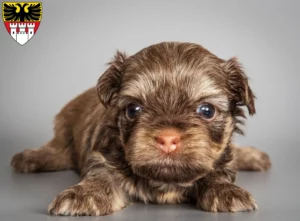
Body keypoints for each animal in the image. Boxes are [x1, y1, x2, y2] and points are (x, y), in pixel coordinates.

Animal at [11, 41, 272, 216]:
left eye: (206, 111)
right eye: (133, 109)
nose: (168, 138)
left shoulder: (219, 159)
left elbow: (218, 170)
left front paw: (225, 189)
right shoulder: (103, 159)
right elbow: (101, 176)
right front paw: (84, 194)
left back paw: (253, 156)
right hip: (64, 128)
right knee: (58, 151)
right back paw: (30, 157)